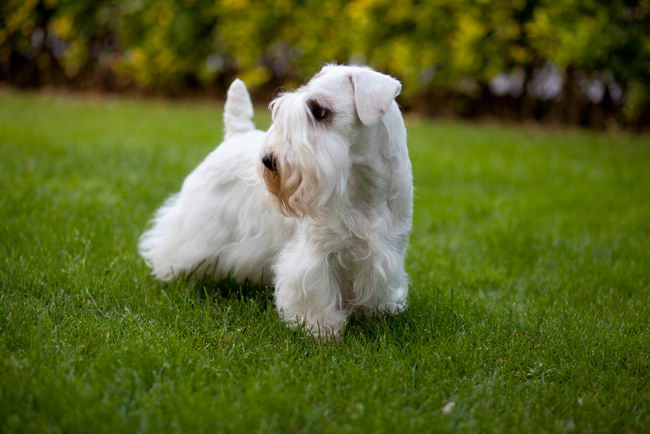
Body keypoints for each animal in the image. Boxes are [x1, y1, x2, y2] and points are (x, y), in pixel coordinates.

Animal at [139, 64, 412, 338]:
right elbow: (314, 289)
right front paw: (320, 328)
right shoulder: (316, 252)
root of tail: (235, 136)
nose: (269, 160)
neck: (364, 189)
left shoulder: (386, 250)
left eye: (319, 110)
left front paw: (376, 313)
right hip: (199, 226)